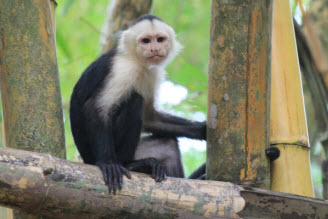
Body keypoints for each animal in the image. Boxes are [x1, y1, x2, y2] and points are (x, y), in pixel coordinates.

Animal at [70, 15, 205, 193]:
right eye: (146, 41)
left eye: (160, 39)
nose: (154, 49)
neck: (136, 60)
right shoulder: (123, 69)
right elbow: (95, 107)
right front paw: (108, 163)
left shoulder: (152, 73)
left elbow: (149, 117)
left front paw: (202, 130)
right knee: (134, 100)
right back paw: (129, 164)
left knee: (168, 144)